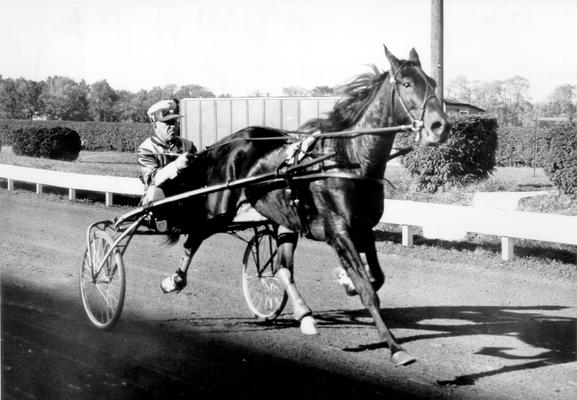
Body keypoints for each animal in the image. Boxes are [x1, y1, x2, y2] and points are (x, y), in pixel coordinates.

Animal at [161, 44, 450, 366]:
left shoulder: (363, 227)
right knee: (196, 235)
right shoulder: (339, 231)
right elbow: (368, 290)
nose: (440, 126)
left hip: (284, 219)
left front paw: (345, 280)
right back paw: (174, 280)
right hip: (220, 209)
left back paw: (304, 314)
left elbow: (376, 278)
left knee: (281, 268)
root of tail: (228, 142)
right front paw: (396, 348)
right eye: (407, 84)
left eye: (433, 82)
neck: (347, 158)